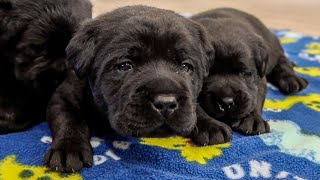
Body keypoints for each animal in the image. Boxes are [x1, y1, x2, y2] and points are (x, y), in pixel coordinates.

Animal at [45, 4, 232, 172]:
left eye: (186, 66)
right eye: (125, 65)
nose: (166, 103)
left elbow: (193, 105)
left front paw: (210, 124)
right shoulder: (64, 95)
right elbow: (69, 119)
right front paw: (69, 148)